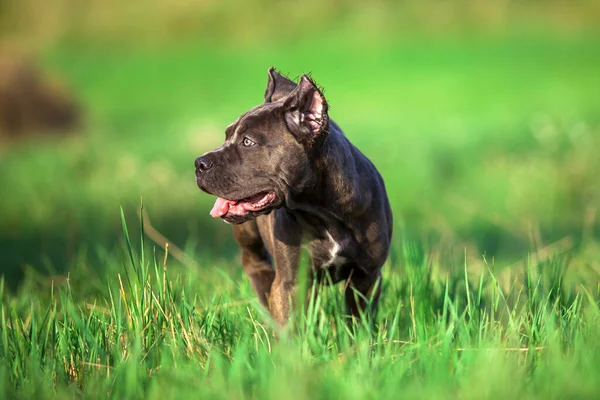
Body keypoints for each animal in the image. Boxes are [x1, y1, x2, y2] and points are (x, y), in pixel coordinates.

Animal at [196, 68, 394, 324]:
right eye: (227, 135)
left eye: (248, 142)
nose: (199, 164)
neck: (321, 211)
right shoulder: (290, 282)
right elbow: (290, 323)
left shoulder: (366, 277)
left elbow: (358, 319)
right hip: (249, 239)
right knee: (255, 264)